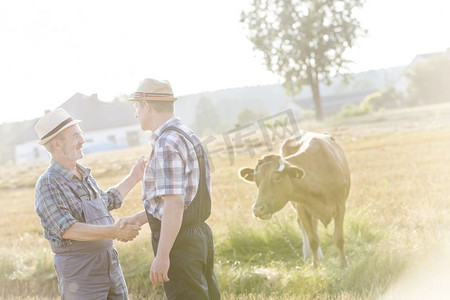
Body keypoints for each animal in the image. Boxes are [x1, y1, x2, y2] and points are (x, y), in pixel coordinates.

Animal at [239, 131, 352, 268]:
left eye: (276, 177)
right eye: (256, 180)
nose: (257, 209)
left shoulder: (340, 205)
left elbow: (338, 238)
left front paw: (344, 264)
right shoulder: (301, 208)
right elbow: (313, 240)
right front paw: (315, 265)